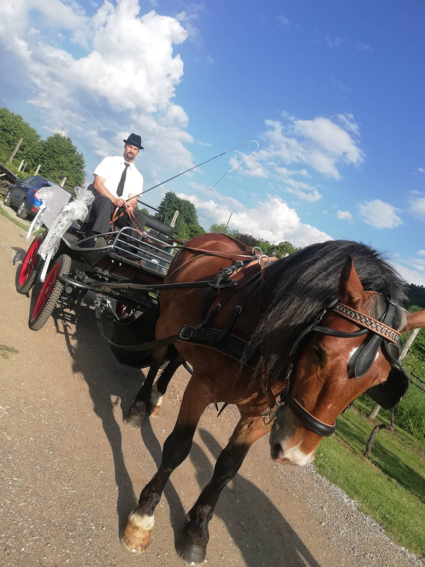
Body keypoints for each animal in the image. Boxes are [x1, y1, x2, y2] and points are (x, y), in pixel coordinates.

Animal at [119, 234, 424, 564]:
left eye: (378, 382)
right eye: (320, 350)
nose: (295, 456)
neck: (257, 331)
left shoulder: (260, 417)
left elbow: (227, 468)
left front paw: (197, 532)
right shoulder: (201, 388)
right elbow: (178, 448)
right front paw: (142, 519)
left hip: (184, 331)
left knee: (175, 358)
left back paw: (157, 398)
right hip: (166, 322)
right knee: (159, 358)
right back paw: (139, 407)